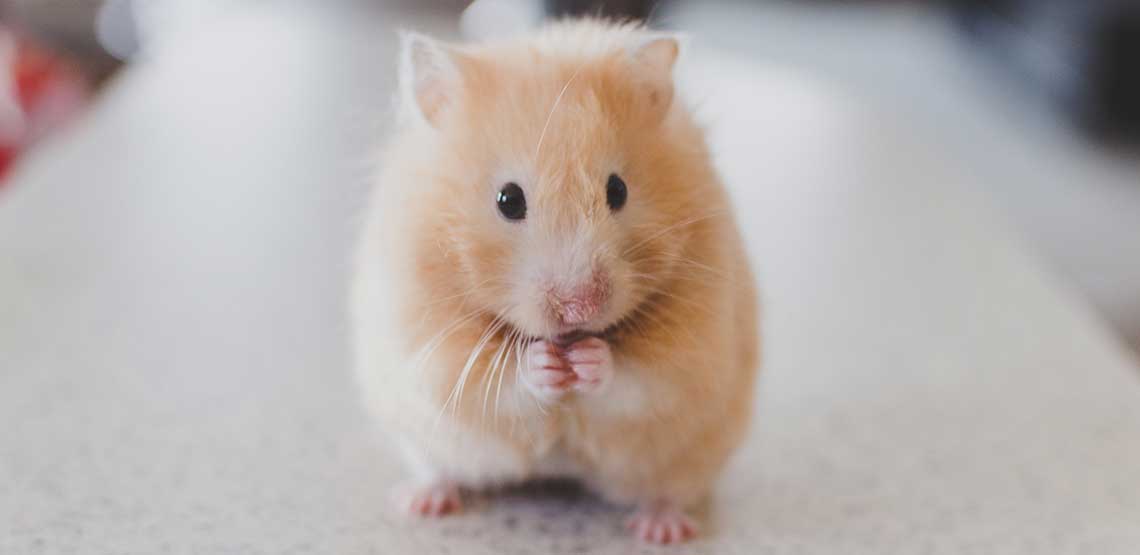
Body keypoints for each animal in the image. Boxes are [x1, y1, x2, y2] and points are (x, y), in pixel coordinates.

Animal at [348, 19, 756, 544]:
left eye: (618, 190)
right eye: (508, 199)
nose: (580, 308)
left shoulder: (694, 350)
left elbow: (639, 379)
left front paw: (589, 360)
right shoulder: (429, 344)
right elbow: (495, 382)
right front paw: (544, 363)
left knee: (669, 490)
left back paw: (661, 530)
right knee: (438, 469)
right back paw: (421, 502)